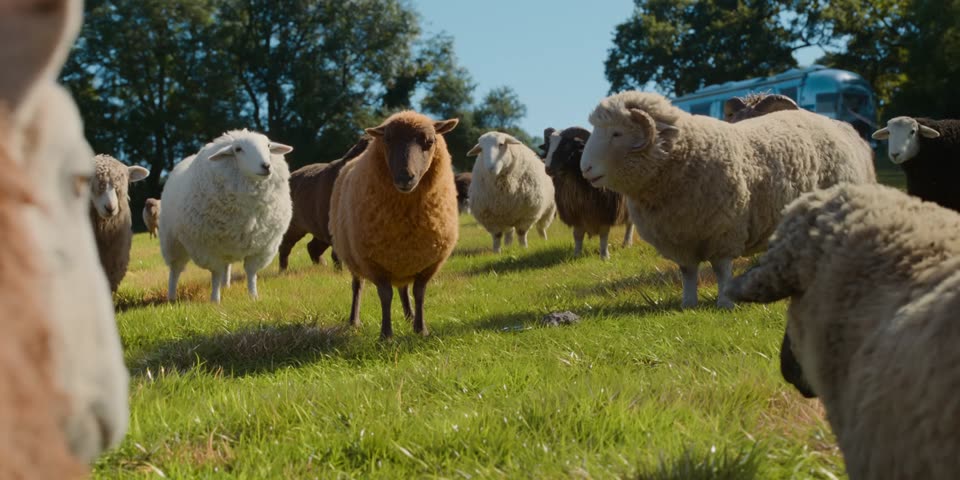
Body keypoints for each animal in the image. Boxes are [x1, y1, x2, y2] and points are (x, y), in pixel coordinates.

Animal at [160, 129, 294, 303]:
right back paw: (171, 296)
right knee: (175, 270)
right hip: (172, 241)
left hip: (228, 245)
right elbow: (215, 275)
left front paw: (253, 296)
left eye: (268, 145)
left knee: (227, 265)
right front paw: (215, 300)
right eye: (238, 149)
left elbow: (251, 273)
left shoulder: (262, 247)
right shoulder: (209, 249)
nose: (266, 166)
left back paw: (226, 286)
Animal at [278, 135, 370, 271]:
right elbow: (338, 254)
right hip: (294, 228)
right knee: (285, 247)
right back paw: (283, 271)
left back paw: (321, 266)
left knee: (312, 247)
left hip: (318, 228)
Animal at [329, 111, 459, 339]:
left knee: (404, 289)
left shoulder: (429, 262)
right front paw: (386, 335)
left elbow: (419, 293)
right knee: (358, 286)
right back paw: (354, 321)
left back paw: (409, 315)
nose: (405, 177)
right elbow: (385, 296)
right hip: (353, 255)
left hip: (402, 260)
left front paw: (420, 329)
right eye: (387, 140)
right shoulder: (374, 261)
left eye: (429, 141)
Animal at [541, 126, 634, 259]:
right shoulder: (576, 212)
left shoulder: (606, 211)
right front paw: (576, 255)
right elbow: (577, 234)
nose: (548, 169)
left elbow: (604, 234)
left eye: (567, 145)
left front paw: (604, 256)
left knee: (630, 224)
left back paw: (627, 243)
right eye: (548, 146)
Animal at [580, 91, 875, 308]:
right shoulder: (679, 236)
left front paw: (725, 302)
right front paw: (688, 304)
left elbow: (721, 269)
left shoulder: (725, 228)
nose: (585, 168)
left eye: (617, 133)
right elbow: (687, 271)